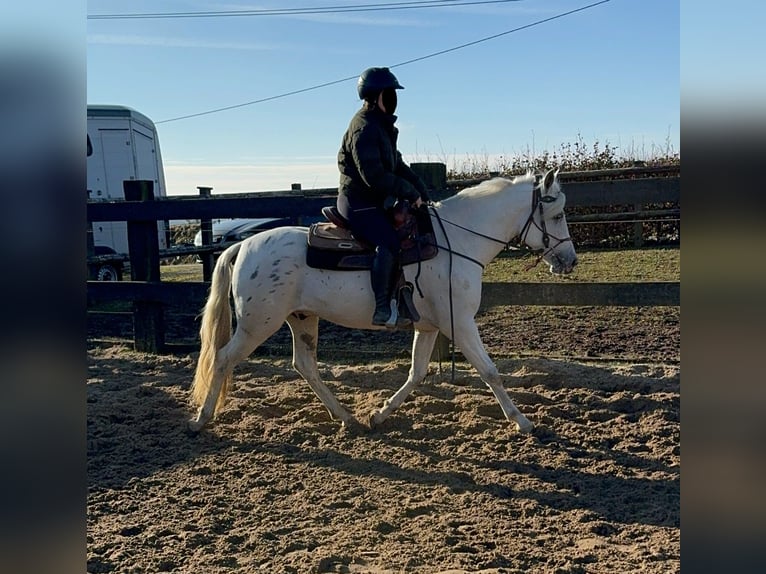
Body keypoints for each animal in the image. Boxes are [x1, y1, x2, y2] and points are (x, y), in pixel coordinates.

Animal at [189, 171, 580, 436]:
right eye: (558, 215)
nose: (570, 260)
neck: (457, 241)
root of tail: (243, 246)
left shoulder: (429, 326)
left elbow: (417, 373)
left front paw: (378, 415)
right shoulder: (460, 323)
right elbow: (490, 372)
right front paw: (523, 421)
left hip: (301, 318)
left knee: (305, 366)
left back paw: (347, 417)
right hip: (258, 323)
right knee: (222, 358)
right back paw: (202, 419)